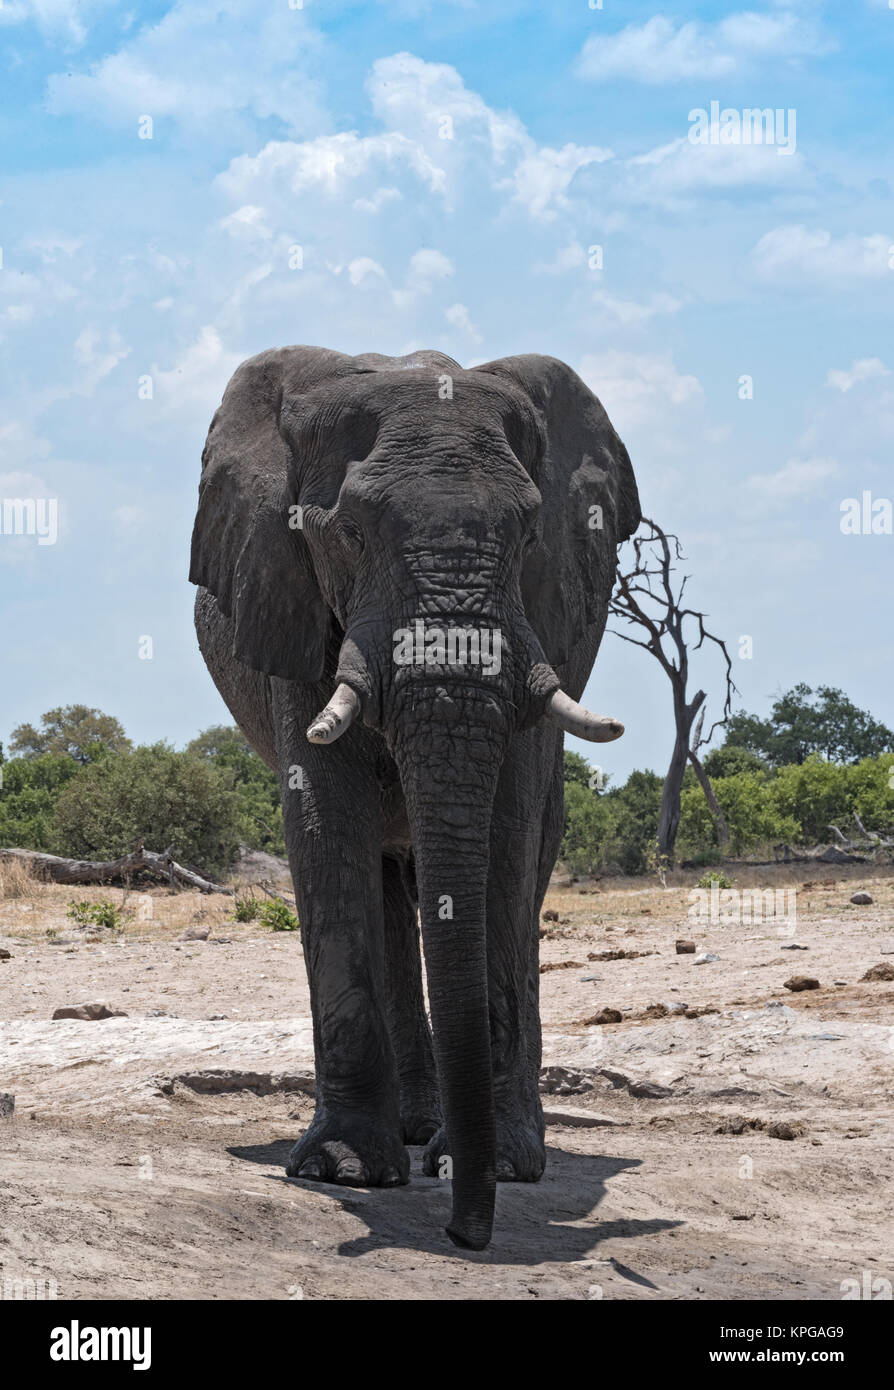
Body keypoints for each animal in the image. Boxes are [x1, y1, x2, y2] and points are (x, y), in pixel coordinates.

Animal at [189, 344, 639, 1251]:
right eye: (350, 534)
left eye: (529, 535)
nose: (468, 1234)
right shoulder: (291, 599)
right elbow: (324, 820)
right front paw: (343, 1171)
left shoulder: (541, 616)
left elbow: (507, 829)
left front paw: (498, 1164)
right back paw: (409, 1135)